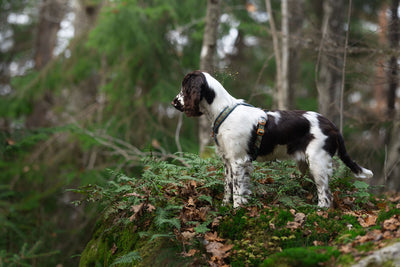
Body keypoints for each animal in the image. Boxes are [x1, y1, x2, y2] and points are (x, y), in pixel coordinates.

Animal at [171, 71, 372, 209]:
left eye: (184, 87)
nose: (173, 102)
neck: (223, 110)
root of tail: (331, 125)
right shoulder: (228, 161)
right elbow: (228, 187)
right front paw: (225, 208)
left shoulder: (238, 161)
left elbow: (237, 189)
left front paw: (236, 210)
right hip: (307, 164)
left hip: (318, 162)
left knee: (326, 195)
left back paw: (319, 212)